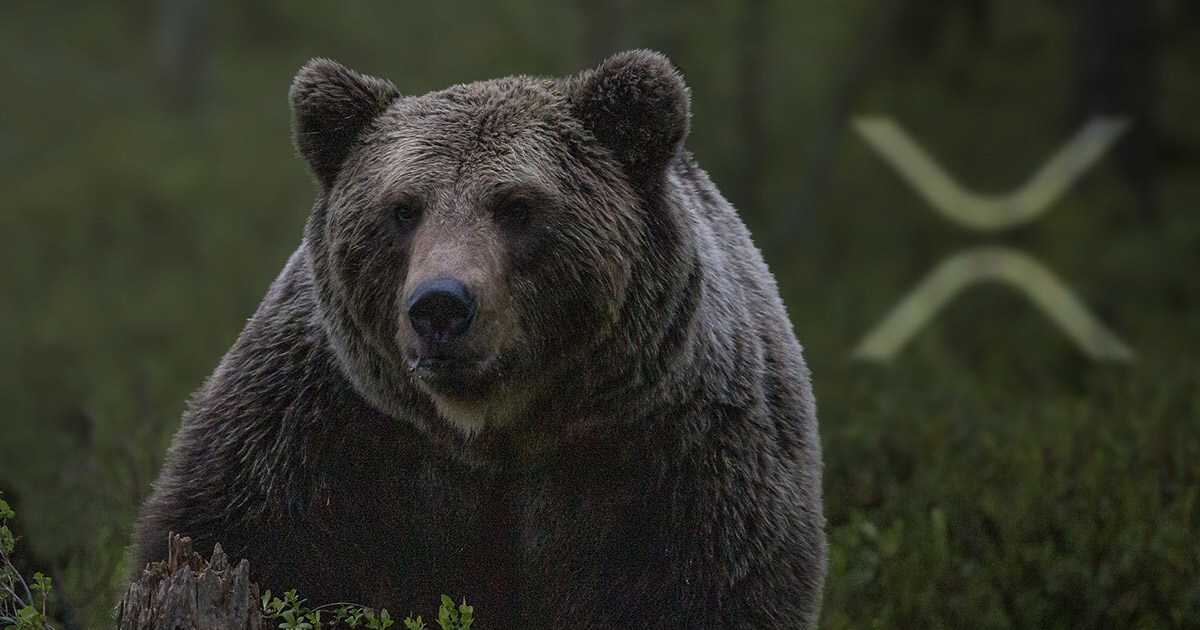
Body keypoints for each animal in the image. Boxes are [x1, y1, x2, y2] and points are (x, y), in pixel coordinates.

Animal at [130, 50, 826, 628]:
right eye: (403, 208)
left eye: (516, 207)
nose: (440, 306)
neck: (495, 429)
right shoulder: (319, 435)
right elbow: (241, 539)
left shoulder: (681, 457)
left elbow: (711, 588)